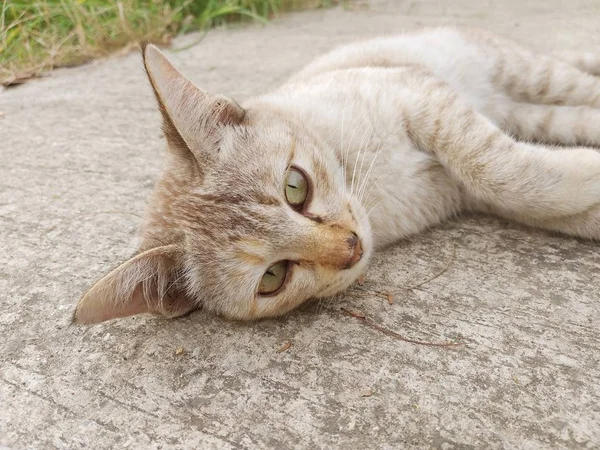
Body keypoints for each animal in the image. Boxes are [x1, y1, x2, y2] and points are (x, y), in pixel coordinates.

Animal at [72, 27, 600, 324]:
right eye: (273, 278)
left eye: (295, 186)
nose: (351, 247)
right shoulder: (463, 188)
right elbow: (517, 187)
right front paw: (586, 194)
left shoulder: (420, 94)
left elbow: (498, 167)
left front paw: (585, 174)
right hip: (531, 111)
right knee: (565, 117)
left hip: (524, 71)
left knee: (579, 84)